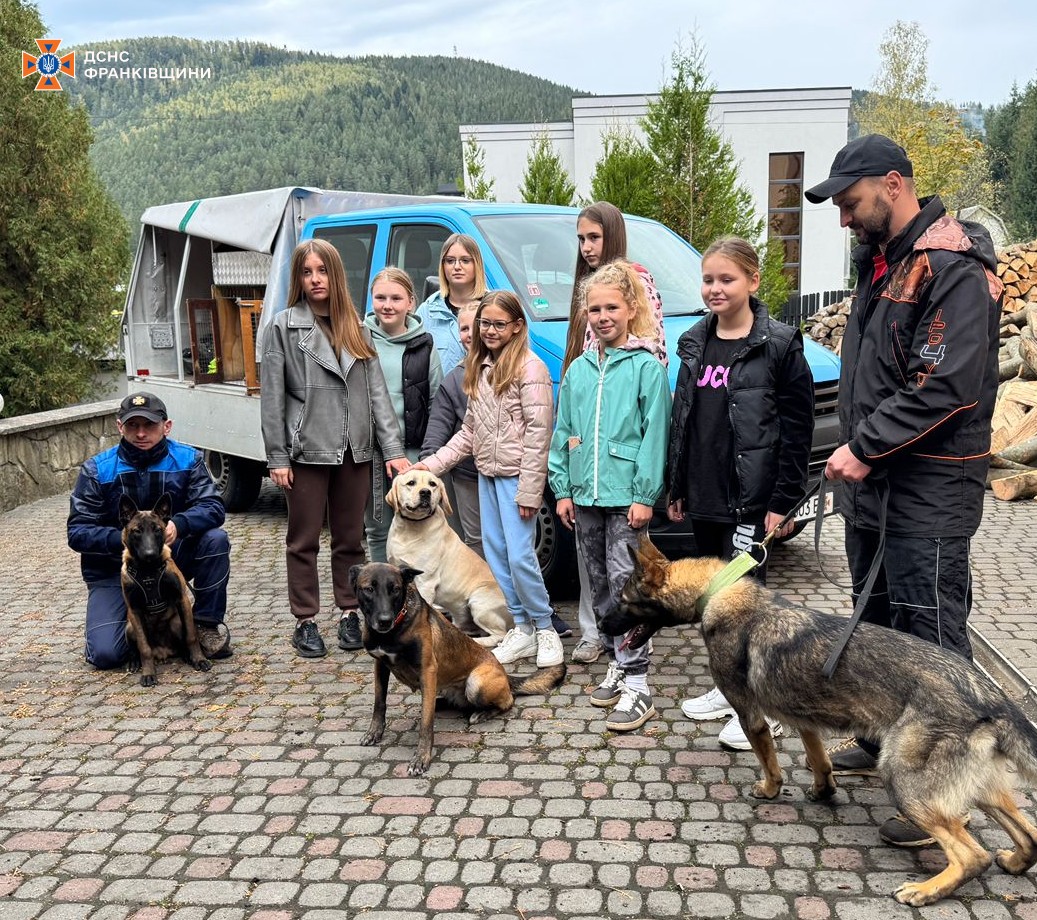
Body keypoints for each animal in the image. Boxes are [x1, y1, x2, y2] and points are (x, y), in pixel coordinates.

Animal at [118, 495, 210, 684]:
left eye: (158, 530)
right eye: (137, 531)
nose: (150, 554)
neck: (148, 569)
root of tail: (162, 652)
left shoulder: (182, 600)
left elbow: (191, 636)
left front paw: (199, 659)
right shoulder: (134, 610)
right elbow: (144, 648)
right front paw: (148, 673)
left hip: (177, 622)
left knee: (183, 642)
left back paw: (187, 656)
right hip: (129, 628)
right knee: (137, 649)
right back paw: (134, 662)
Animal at [352, 560, 568, 775]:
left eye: (395, 589)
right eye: (369, 589)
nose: (384, 620)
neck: (392, 632)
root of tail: (506, 676)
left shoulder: (427, 670)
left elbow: (426, 723)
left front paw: (421, 757)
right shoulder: (380, 665)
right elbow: (379, 703)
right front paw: (374, 732)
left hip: (475, 683)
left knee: (507, 701)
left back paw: (481, 713)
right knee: (446, 703)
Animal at [597, 539, 1037, 908]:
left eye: (624, 600)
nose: (600, 624)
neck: (718, 590)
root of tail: (991, 696)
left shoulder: (752, 715)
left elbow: (768, 759)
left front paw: (770, 789)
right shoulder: (803, 716)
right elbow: (818, 758)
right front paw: (823, 789)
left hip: (904, 781)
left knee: (972, 855)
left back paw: (926, 890)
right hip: (983, 789)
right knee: (1029, 834)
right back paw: (1015, 862)